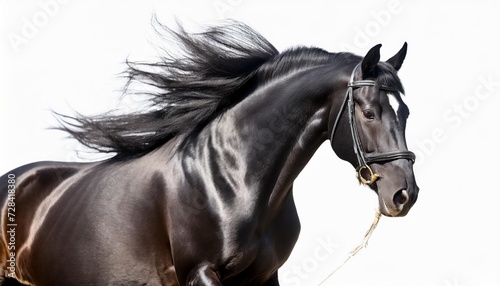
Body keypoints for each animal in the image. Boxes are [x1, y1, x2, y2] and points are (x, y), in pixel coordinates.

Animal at [0, 21, 418, 284]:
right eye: (369, 113)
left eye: (406, 112)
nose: (404, 194)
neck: (231, 180)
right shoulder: (200, 272)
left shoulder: (264, 277)